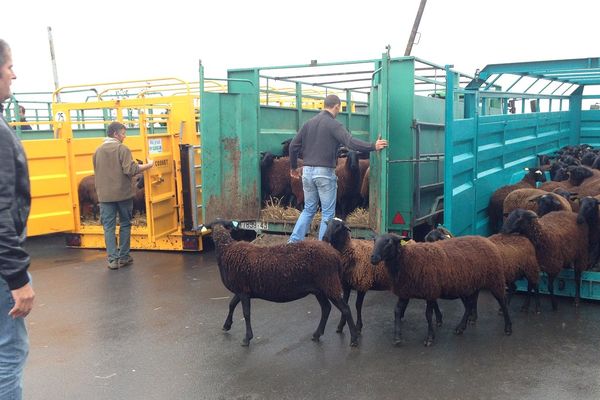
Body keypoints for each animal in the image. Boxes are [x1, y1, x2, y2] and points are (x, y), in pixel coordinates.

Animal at [207, 219, 356, 346]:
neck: (226, 249)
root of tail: (335, 255)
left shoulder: (243, 291)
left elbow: (246, 314)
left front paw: (247, 338)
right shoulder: (242, 289)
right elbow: (231, 304)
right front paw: (227, 325)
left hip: (329, 284)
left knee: (345, 309)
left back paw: (355, 339)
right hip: (320, 289)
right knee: (326, 308)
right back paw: (317, 334)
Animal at [370, 234, 510, 346]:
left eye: (389, 242)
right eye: (374, 241)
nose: (373, 258)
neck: (407, 260)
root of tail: (486, 240)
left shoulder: (430, 291)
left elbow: (428, 315)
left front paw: (430, 338)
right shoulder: (405, 291)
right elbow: (397, 312)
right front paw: (397, 337)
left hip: (494, 278)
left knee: (502, 301)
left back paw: (508, 327)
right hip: (466, 286)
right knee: (469, 305)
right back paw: (460, 328)